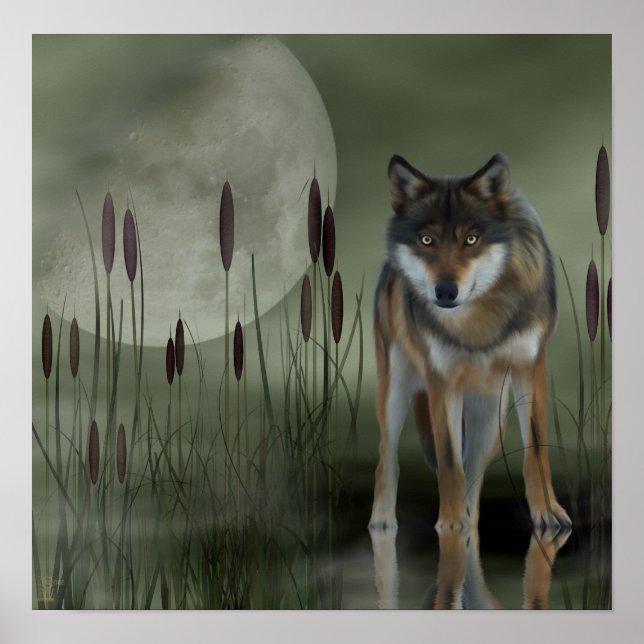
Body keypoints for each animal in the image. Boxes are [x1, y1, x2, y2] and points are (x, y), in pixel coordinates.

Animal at [369, 153, 572, 534]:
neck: (478, 323)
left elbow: (536, 448)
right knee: (387, 457)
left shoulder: (531, 366)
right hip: (395, 394)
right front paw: (448, 522)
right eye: (427, 240)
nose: (446, 292)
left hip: (490, 425)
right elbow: (449, 459)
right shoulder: (441, 380)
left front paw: (548, 514)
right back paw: (383, 522)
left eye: (472, 240)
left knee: (474, 479)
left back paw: (470, 526)